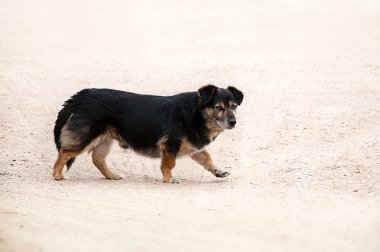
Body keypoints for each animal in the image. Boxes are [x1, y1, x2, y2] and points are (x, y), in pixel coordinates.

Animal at [52, 84, 243, 183]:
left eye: (234, 106)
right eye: (218, 107)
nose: (233, 122)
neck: (196, 113)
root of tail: (80, 96)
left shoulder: (194, 147)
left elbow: (208, 159)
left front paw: (218, 171)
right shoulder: (170, 145)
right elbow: (169, 164)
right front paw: (169, 178)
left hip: (104, 139)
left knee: (97, 159)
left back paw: (111, 175)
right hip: (86, 137)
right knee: (65, 151)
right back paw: (57, 174)